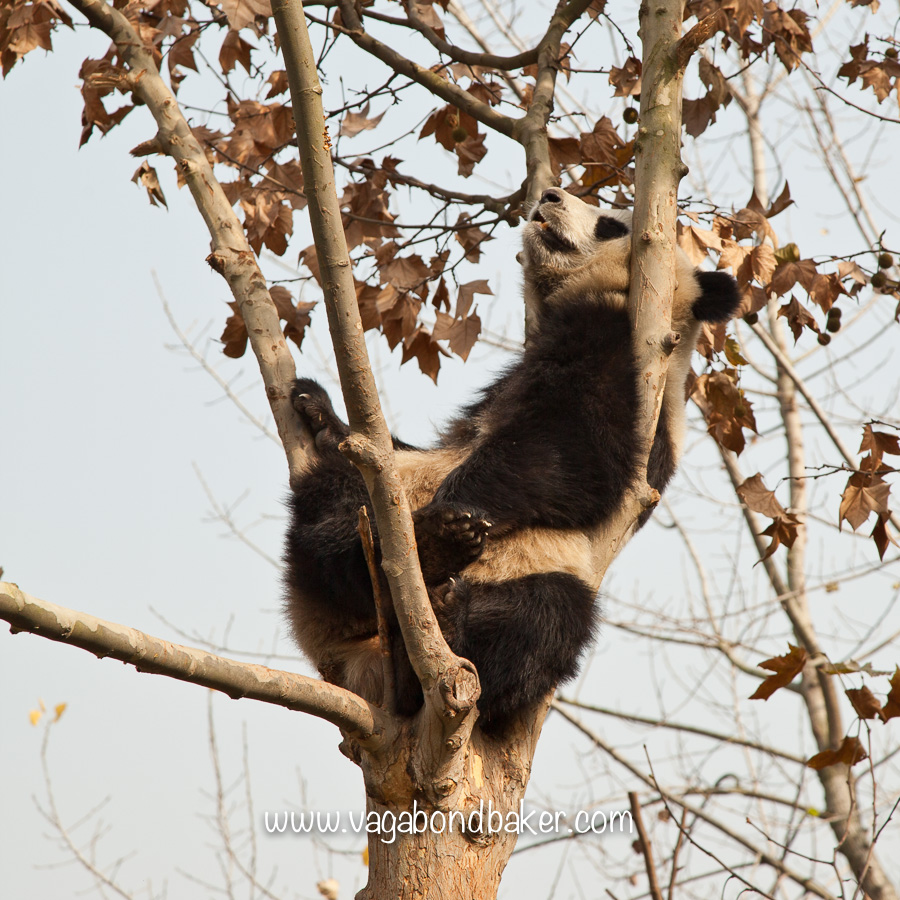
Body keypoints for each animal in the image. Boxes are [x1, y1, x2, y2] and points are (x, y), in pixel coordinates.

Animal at [283, 188, 739, 732]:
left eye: (610, 224)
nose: (550, 195)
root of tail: (358, 667)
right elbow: (426, 444)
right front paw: (321, 413)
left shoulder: (630, 367)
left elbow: (569, 448)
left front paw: (462, 501)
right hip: (356, 524)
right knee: (331, 522)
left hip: (533, 570)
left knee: (545, 619)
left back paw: (442, 598)